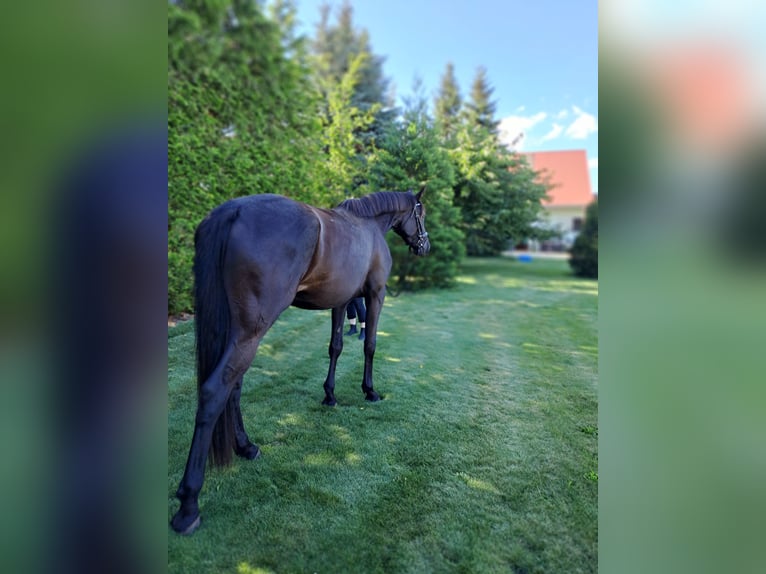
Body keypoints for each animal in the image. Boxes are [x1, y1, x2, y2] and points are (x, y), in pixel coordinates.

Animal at [170, 189, 428, 536]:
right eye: (420, 213)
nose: (424, 245)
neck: (369, 225)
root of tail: (232, 211)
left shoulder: (342, 300)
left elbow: (336, 346)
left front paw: (330, 394)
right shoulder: (375, 294)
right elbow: (370, 345)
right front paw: (370, 391)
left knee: (234, 385)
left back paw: (246, 447)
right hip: (252, 330)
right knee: (215, 390)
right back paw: (188, 504)